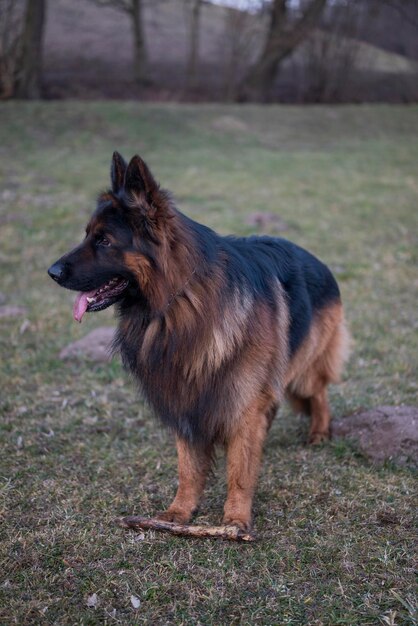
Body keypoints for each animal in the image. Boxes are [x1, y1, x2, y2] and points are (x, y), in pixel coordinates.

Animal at [48, 151, 350, 528]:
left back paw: (319, 432)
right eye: (87, 235)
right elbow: (188, 467)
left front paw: (235, 520)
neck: (176, 301)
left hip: (303, 371)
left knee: (319, 394)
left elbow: (240, 469)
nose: (52, 272)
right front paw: (179, 512)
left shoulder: (243, 400)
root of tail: (319, 261)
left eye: (103, 241)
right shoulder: (183, 394)